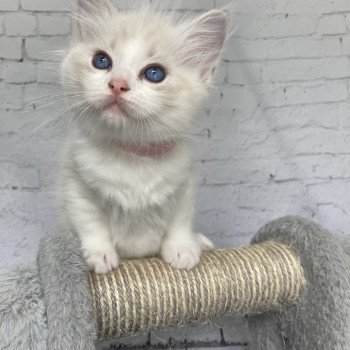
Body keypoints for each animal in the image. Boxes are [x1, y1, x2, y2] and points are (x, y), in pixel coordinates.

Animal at [58, 0, 231, 274]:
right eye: (101, 60)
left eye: (154, 74)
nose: (117, 84)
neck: (133, 154)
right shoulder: (76, 184)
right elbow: (90, 221)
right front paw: (99, 255)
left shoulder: (183, 186)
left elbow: (180, 220)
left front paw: (182, 249)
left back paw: (200, 243)